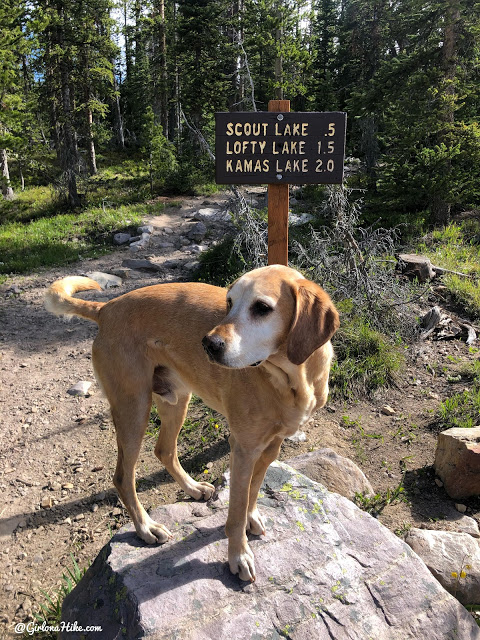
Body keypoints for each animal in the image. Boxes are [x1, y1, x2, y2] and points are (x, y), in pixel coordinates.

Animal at [44, 264, 338, 580]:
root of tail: (107, 308)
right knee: (123, 476)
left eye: (262, 308)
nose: (209, 344)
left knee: (164, 450)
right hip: (133, 410)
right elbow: (235, 511)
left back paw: (193, 488)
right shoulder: (243, 449)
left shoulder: (270, 447)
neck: (291, 379)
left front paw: (251, 518)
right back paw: (146, 527)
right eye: (229, 303)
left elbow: (253, 491)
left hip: (176, 401)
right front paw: (238, 555)